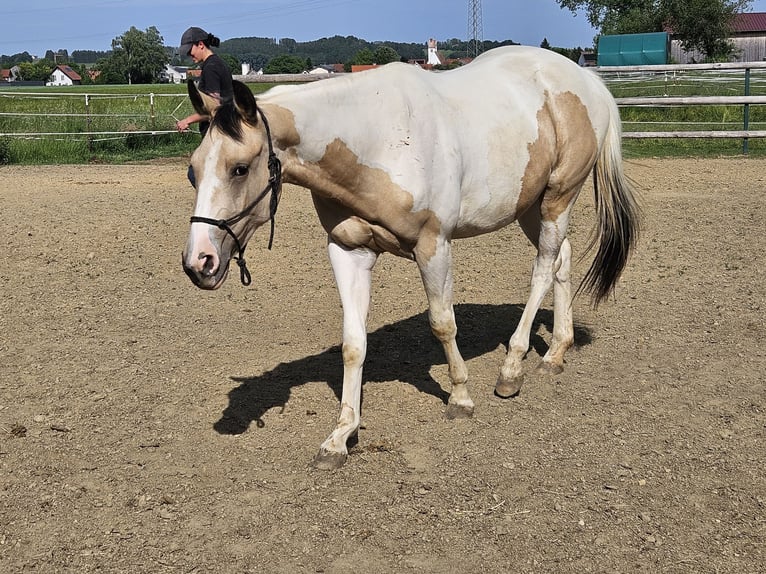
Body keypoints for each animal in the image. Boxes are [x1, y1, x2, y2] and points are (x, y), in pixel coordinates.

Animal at [181, 46, 641, 470]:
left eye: (240, 168)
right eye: (192, 171)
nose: (199, 262)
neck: (375, 139)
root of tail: (586, 81)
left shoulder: (433, 246)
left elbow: (442, 324)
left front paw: (460, 398)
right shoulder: (348, 251)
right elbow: (353, 344)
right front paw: (340, 435)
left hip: (558, 198)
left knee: (543, 271)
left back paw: (512, 369)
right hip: (531, 205)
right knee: (562, 261)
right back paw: (555, 353)